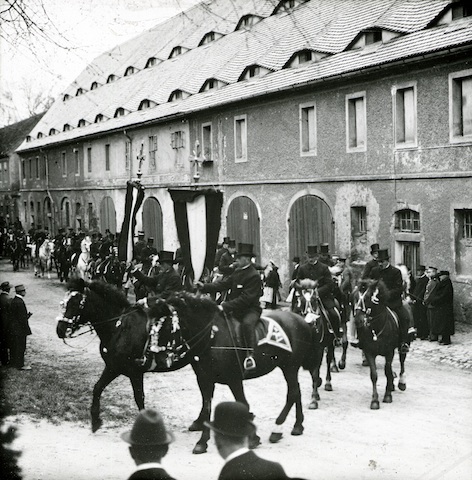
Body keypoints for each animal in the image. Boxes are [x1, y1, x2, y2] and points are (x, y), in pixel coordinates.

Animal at [57, 278, 318, 454]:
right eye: (64, 302)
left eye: (75, 302)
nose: (60, 329)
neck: (120, 326)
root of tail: (301, 320)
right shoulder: (116, 367)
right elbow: (98, 388)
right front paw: (95, 421)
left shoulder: (132, 371)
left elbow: (139, 398)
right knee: (296, 393)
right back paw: (297, 425)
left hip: (289, 367)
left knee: (293, 393)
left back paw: (280, 428)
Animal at [352, 278, 408, 408]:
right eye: (355, 297)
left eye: (367, 298)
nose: (358, 320)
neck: (377, 328)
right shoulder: (369, 352)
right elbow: (374, 375)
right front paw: (375, 400)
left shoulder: (389, 352)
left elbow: (387, 372)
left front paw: (387, 396)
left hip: (402, 346)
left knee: (402, 361)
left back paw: (401, 383)